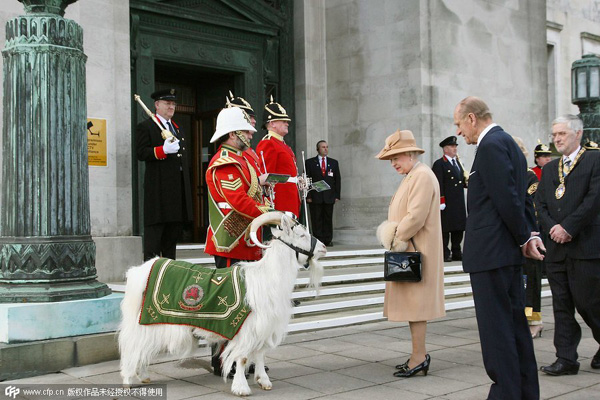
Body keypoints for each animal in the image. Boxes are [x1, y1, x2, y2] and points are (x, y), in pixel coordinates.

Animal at [119, 212, 326, 396]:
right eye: (301, 235)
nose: (324, 247)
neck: (266, 277)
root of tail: (139, 271)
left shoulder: (264, 326)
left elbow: (260, 353)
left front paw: (264, 381)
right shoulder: (245, 329)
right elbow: (242, 358)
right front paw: (241, 388)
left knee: (142, 347)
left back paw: (143, 376)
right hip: (143, 321)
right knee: (132, 346)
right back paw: (128, 381)